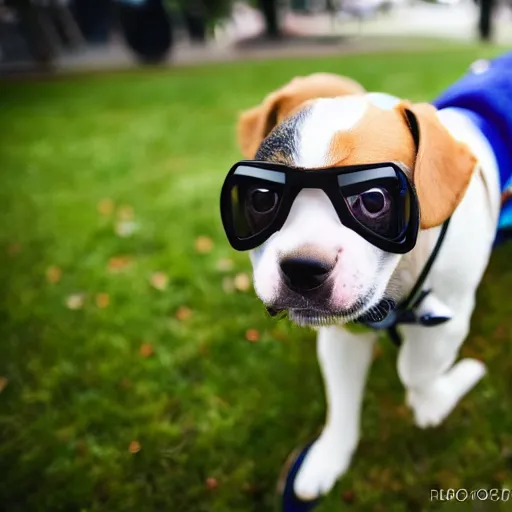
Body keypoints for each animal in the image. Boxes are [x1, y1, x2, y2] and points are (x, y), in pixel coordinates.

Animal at [218, 55, 510, 500]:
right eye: (262, 197)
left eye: (373, 200)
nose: (302, 267)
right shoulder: (344, 332)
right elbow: (340, 397)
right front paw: (330, 455)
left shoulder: (449, 318)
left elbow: (416, 372)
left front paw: (444, 393)